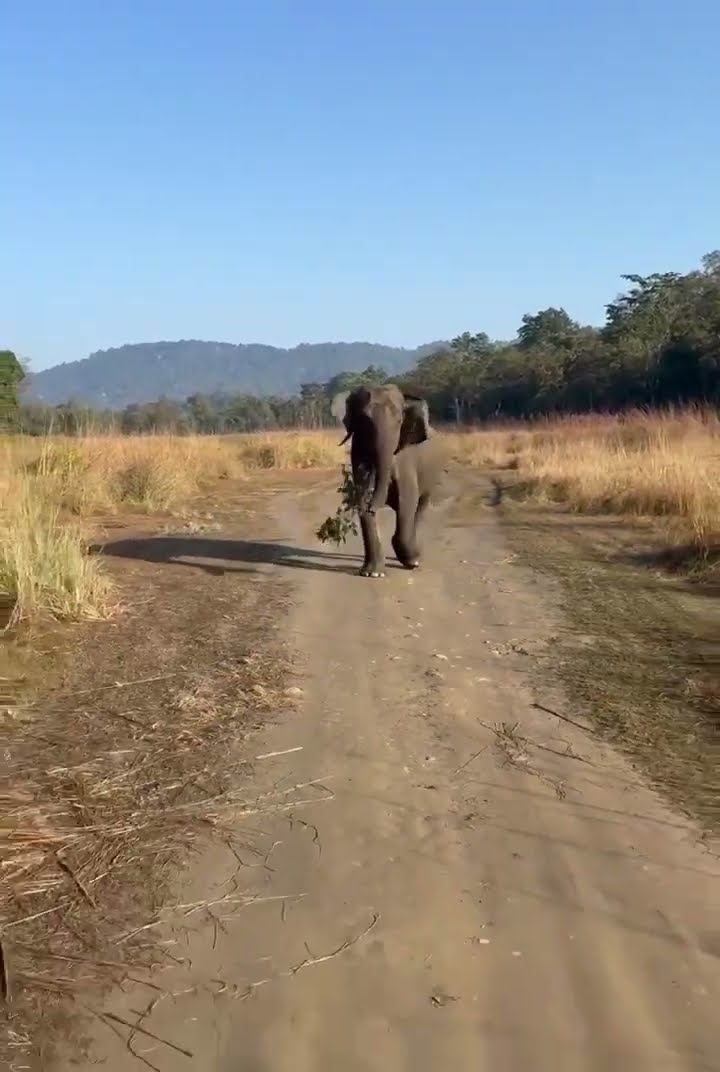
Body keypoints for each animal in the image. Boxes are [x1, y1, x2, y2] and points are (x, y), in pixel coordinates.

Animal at [331, 383, 443, 577]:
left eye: (399, 422)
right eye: (365, 421)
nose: (373, 506)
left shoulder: (405, 455)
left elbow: (407, 498)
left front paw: (410, 561)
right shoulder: (357, 450)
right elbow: (360, 494)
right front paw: (372, 573)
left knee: (419, 507)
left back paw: (415, 557)